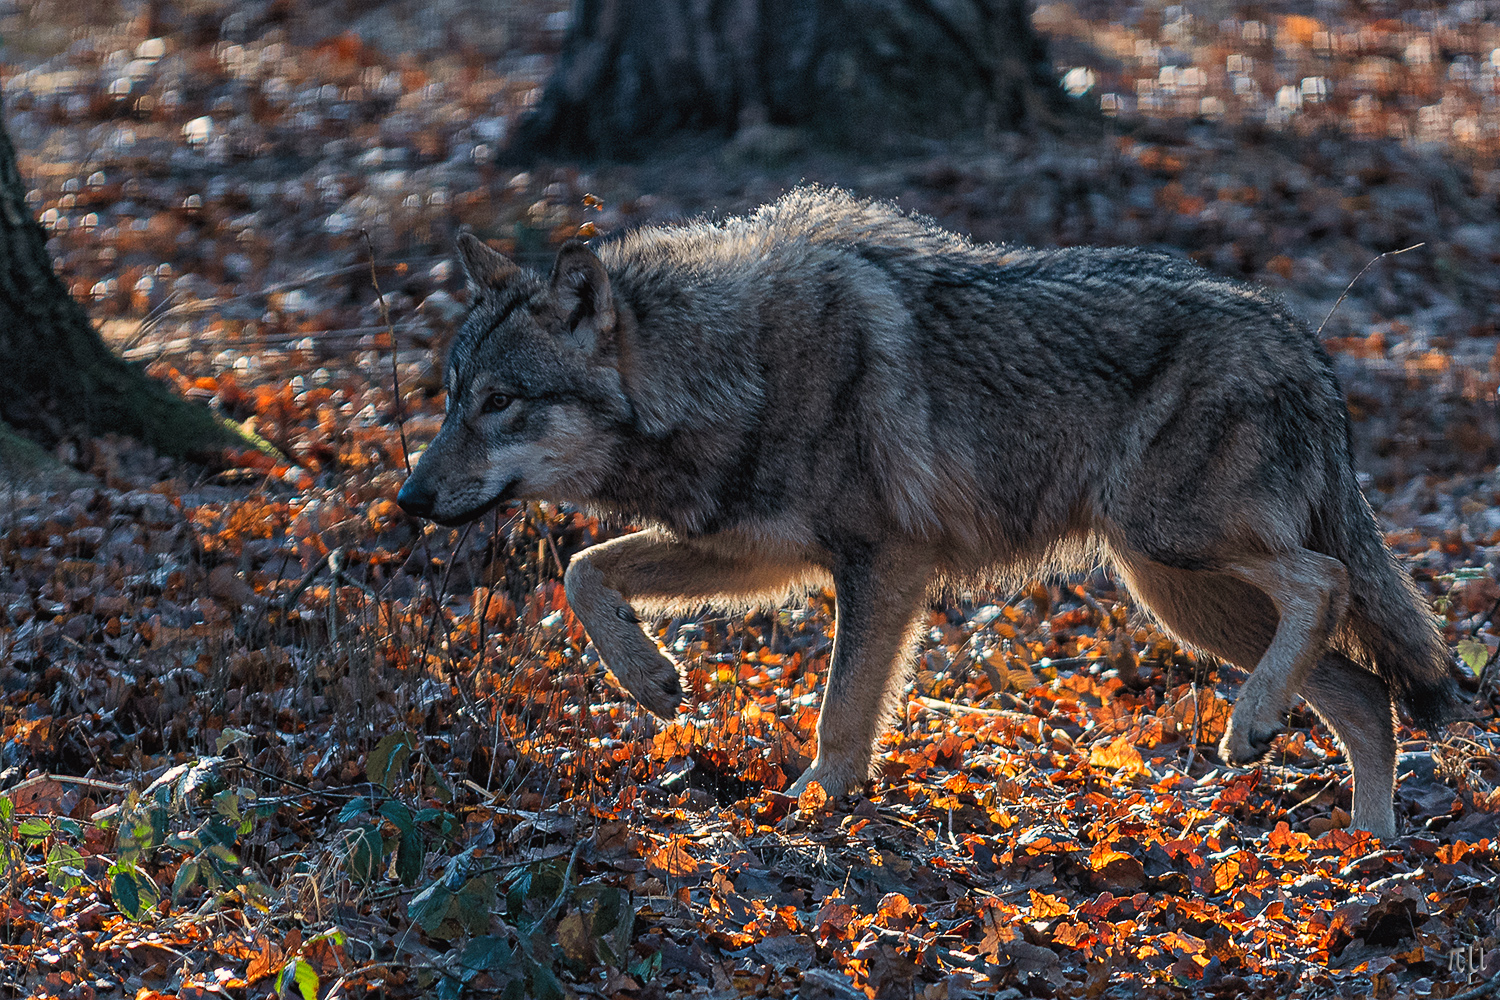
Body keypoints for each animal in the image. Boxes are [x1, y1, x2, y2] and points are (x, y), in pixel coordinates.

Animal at [396, 185, 1452, 839]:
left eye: (500, 401)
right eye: (449, 398)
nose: (407, 497)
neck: (728, 367)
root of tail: (1307, 346)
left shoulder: (885, 565)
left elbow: (840, 713)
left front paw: (811, 809)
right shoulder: (759, 557)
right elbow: (587, 571)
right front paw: (652, 681)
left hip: (1175, 550)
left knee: (1330, 582)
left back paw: (1267, 735)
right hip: (1178, 594)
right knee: (1368, 695)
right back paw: (1367, 852)